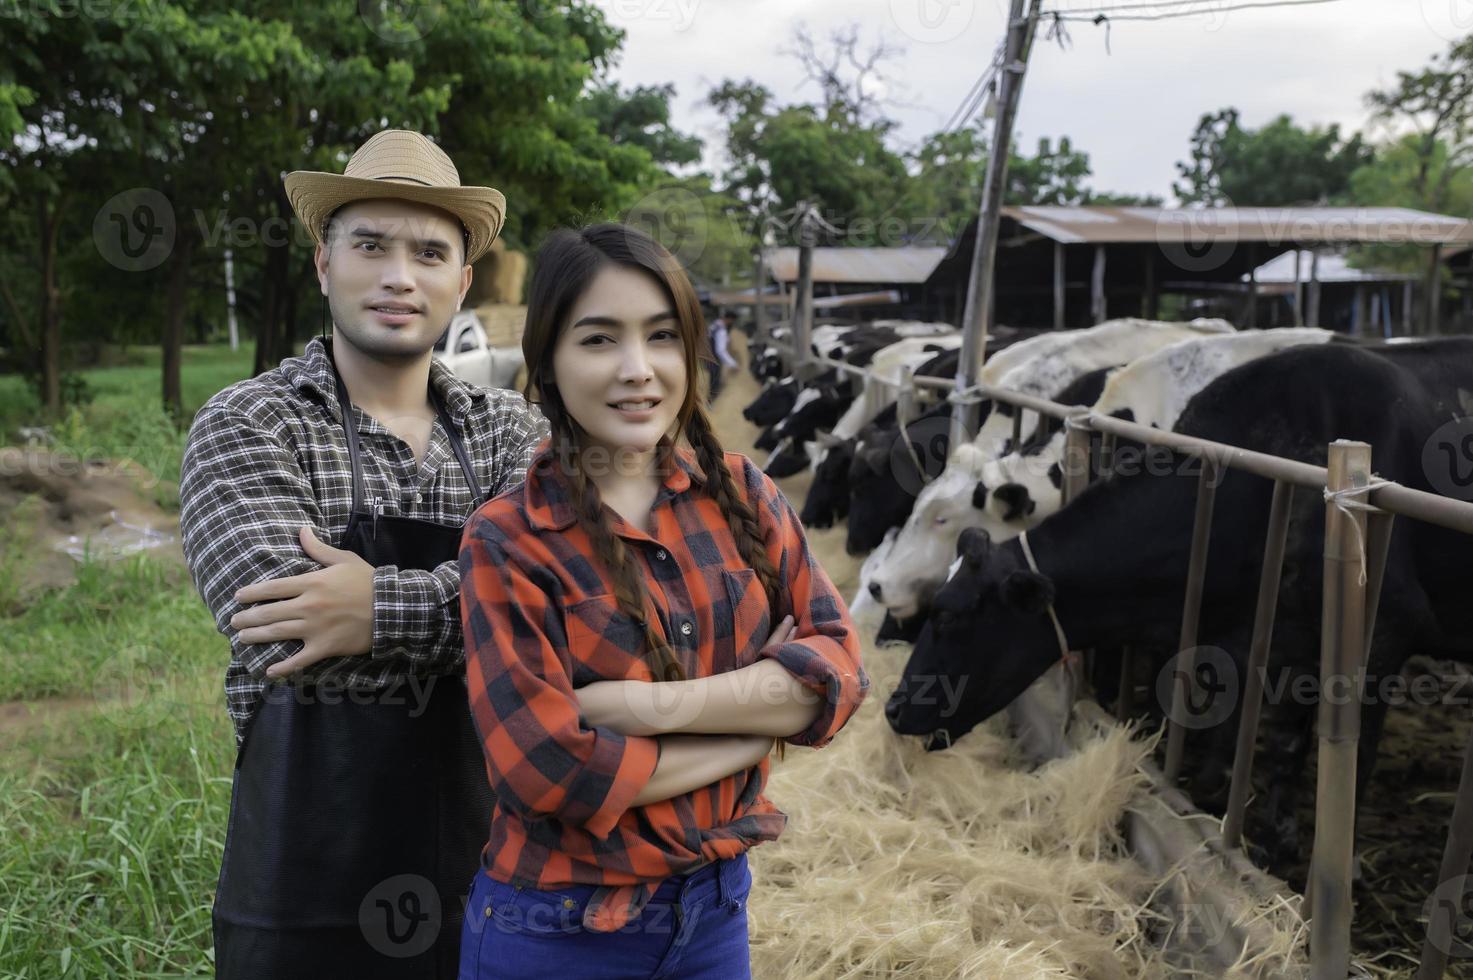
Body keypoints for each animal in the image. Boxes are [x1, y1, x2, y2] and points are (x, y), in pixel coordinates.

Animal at [883, 336, 1473, 866]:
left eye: (948, 615)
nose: (893, 707)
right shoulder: (1275, 642)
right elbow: (1282, 743)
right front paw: (1266, 835)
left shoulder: (1382, 638)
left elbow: (1352, 759)